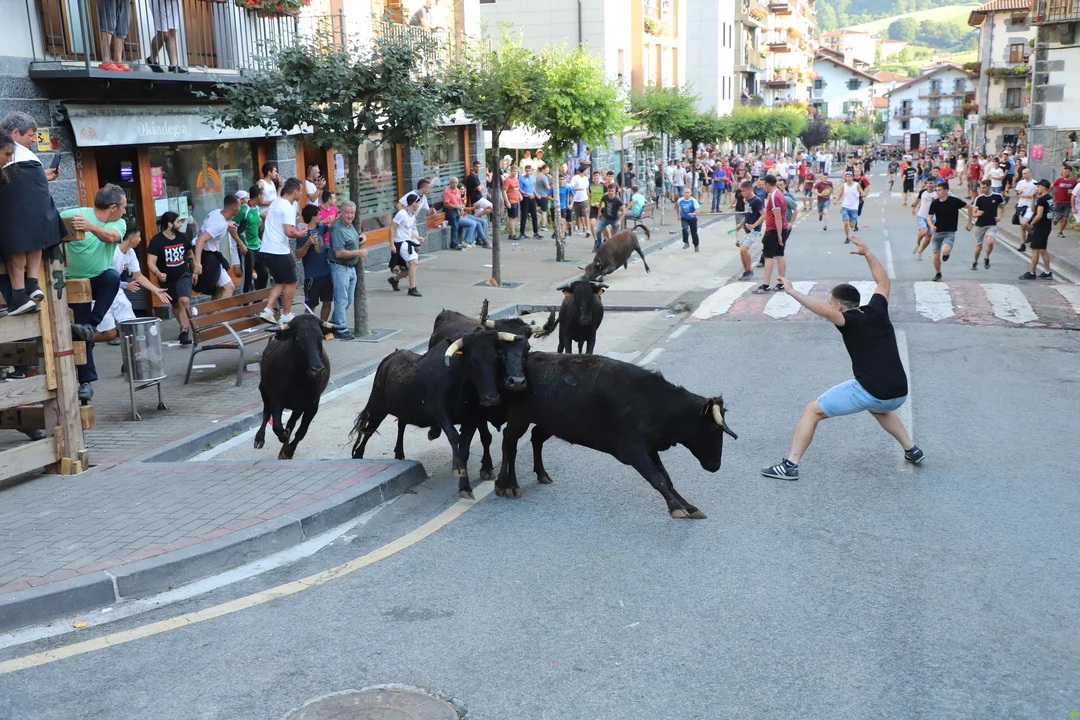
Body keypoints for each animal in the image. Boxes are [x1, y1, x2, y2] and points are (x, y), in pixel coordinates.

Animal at [254, 313, 337, 459]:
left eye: (320, 337)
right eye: (298, 340)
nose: (317, 369)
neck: (300, 379)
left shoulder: (312, 405)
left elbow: (301, 431)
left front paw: (288, 451)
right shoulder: (277, 400)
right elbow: (277, 426)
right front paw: (283, 437)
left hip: (298, 407)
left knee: (291, 423)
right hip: (264, 389)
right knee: (266, 413)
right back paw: (259, 438)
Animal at [349, 327, 521, 499]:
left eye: (497, 359)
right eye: (472, 361)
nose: (491, 398)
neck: (459, 381)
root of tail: (389, 358)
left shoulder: (471, 419)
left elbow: (464, 447)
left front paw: (465, 486)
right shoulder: (441, 412)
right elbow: (455, 438)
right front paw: (458, 469)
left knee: (400, 425)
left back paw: (399, 454)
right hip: (376, 408)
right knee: (368, 430)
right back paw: (357, 456)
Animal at [494, 353, 738, 519]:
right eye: (715, 429)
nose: (716, 465)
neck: (657, 404)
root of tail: (529, 357)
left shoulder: (649, 448)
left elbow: (666, 478)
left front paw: (688, 506)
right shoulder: (632, 450)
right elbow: (657, 478)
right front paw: (677, 508)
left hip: (550, 423)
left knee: (535, 437)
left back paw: (541, 474)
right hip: (519, 419)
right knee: (509, 442)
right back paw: (506, 484)